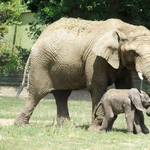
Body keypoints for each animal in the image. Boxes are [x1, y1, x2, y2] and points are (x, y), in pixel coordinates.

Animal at [15, 17, 150, 130]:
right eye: (133, 53)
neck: (125, 27)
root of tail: (37, 40)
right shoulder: (95, 58)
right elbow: (97, 87)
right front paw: (95, 130)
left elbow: (126, 86)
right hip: (41, 64)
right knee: (37, 94)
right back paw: (21, 125)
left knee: (62, 95)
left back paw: (66, 126)